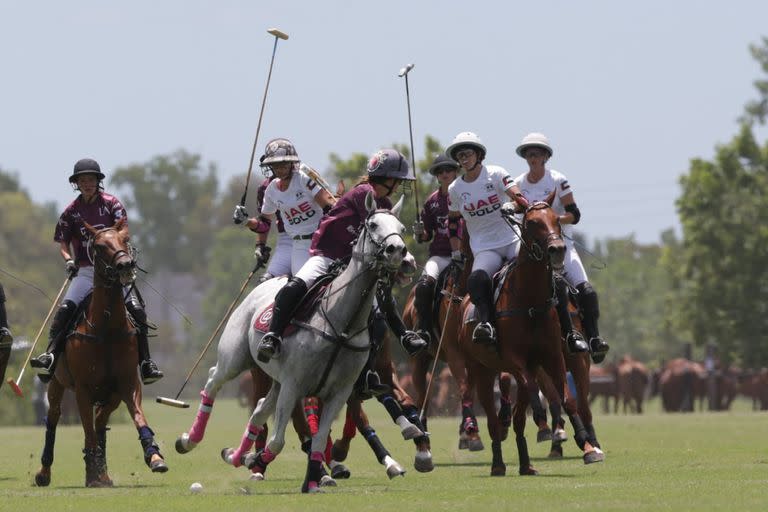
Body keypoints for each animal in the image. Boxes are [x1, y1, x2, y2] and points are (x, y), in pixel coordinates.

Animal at [34, 220, 166, 488]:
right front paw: (93, 471)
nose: (126, 264)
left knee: (100, 421)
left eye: (125, 240)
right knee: (54, 418)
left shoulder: (128, 383)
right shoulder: (83, 389)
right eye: (99, 246)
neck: (106, 329)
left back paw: (100, 473)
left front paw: (155, 456)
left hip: (110, 395)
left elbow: (138, 417)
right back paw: (46, 473)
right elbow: (86, 430)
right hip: (57, 383)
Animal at [176, 192, 412, 492]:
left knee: (258, 410)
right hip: (236, 358)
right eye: (372, 225)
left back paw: (235, 455)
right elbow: (278, 441)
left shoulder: (339, 392)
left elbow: (319, 439)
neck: (341, 325)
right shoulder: (294, 384)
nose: (398, 251)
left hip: (275, 381)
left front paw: (311, 480)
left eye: (402, 228)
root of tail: (267, 282)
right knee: (212, 381)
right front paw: (260, 461)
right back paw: (189, 440)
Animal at [456, 197, 600, 476]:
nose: (557, 249)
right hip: (480, 369)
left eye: (556, 219)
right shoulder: (515, 359)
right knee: (493, 419)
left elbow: (568, 399)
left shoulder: (554, 356)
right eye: (532, 222)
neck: (530, 301)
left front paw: (587, 446)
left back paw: (526, 464)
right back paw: (498, 464)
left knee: (520, 418)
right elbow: (538, 392)